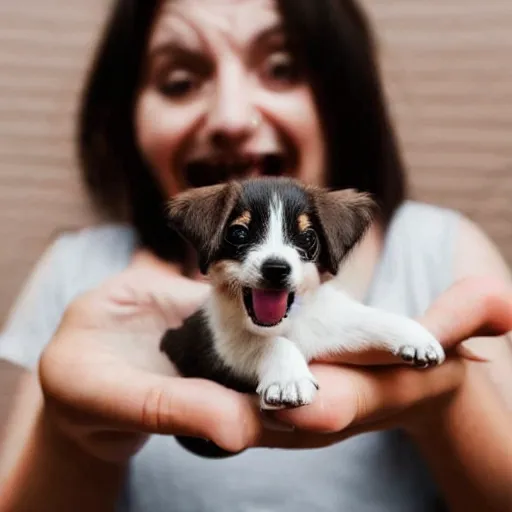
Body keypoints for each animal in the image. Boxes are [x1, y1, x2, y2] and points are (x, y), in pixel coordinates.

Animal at [160, 178, 444, 454]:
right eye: (238, 233)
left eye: (308, 237)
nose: (276, 268)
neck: (283, 324)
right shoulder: (217, 348)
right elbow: (267, 343)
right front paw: (289, 379)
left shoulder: (326, 320)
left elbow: (367, 318)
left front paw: (416, 337)